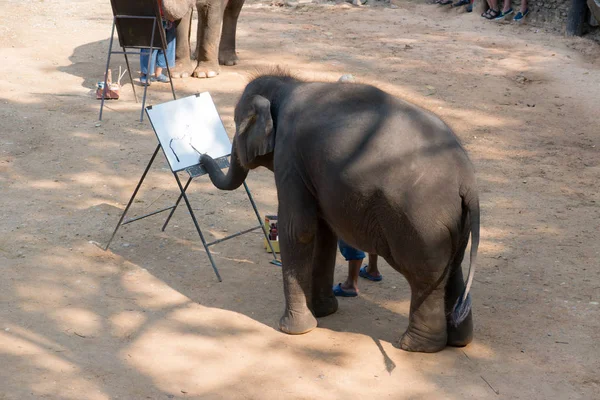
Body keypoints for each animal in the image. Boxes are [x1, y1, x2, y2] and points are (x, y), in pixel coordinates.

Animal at [199, 69, 480, 354]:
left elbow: (299, 229)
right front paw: (324, 311)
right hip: (453, 222)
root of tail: (466, 180)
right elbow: (323, 233)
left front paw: (294, 329)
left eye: (236, 124)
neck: (288, 84)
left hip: (421, 222)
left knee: (425, 276)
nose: (202, 157)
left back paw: (414, 345)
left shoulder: (289, 156)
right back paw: (459, 341)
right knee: (452, 267)